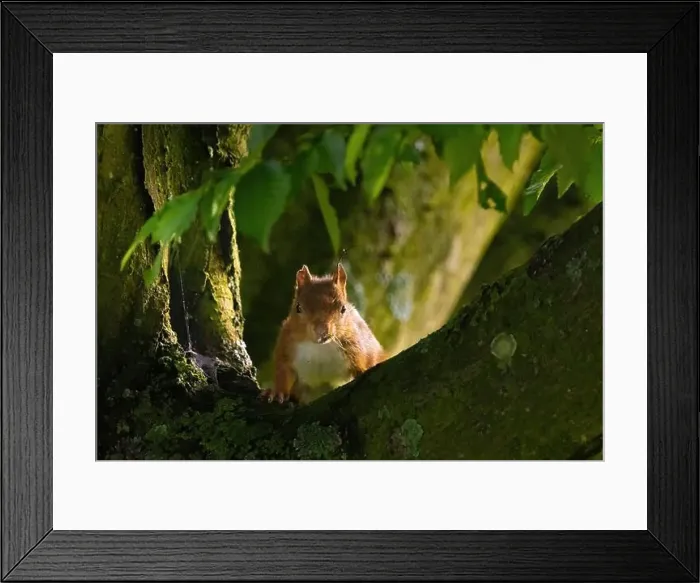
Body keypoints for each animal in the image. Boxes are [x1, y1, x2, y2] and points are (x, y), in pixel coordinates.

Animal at [262, 262, 385, 404]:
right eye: (298, 308)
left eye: (343, 309)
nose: (322, 331)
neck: (319, 348)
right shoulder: (286, 343)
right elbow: (282, 370)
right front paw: (277, 392)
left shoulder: (357, 346)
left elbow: (365, 361)